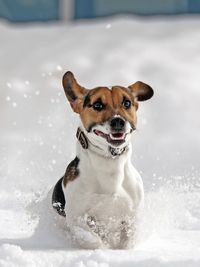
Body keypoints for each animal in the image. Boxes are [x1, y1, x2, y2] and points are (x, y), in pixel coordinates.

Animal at [51, 71, 153, 249]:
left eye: (127, 103)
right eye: (98, 105)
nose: (118, 121)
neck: (110, 163)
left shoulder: (133, 217)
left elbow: (128, 240)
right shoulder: (76, 218)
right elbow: (93, 239)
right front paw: (104, 248)